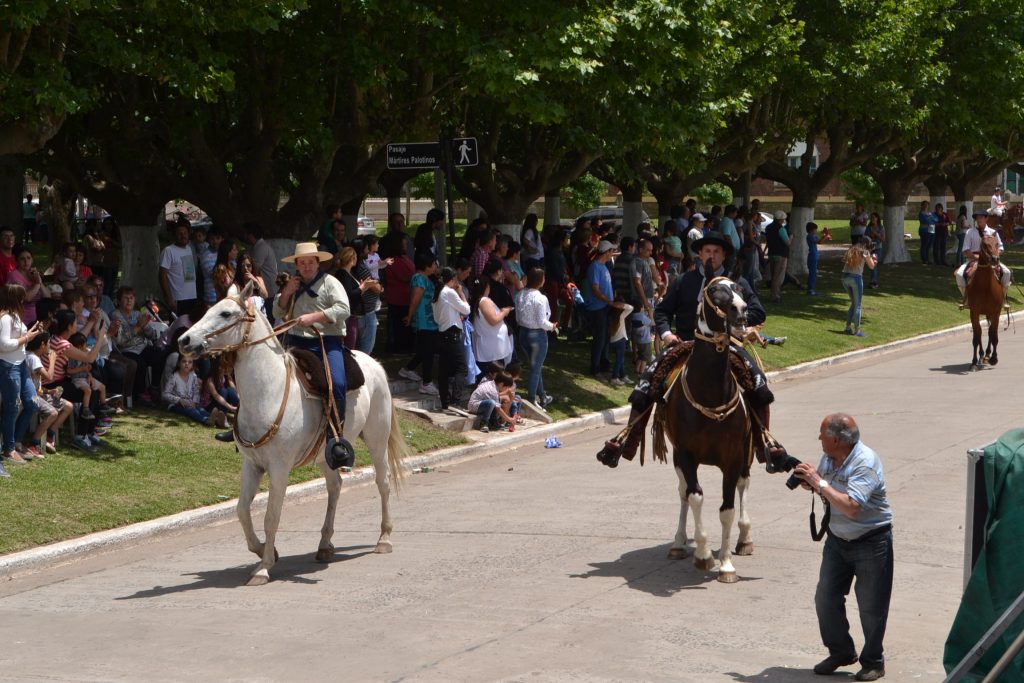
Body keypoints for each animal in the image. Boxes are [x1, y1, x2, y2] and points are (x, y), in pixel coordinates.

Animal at [178, 280, 405, 585]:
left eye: (225, 313)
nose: (184, 341)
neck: (268, 392)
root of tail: (374, 363)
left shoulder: (279, 468)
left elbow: (271, 517)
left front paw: (263, 568)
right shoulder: (252, 464)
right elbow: (242, 511)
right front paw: (265, 550)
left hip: (377, 438)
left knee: (383, 482)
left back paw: (384, 538)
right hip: (327, 454)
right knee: (335, 487)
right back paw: (324, 545)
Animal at [655, 274, 753, 585]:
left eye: (741, 289)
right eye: (714, 291)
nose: (740, 311)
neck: (710, 392)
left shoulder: (733, 457)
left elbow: (727, 509)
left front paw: (726, 564)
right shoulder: (685, 455)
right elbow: (695, 496)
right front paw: (703, 554)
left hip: (747, 453)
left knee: (744, 485)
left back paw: (745, 539)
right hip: (677, 458)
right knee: (683, 492)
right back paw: (678, 544)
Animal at [962, 232, 1003, 368]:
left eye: (996, 243)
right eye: (985, 244)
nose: (995, 259)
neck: (985, 286)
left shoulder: (996, 312)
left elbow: (993, 333)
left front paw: (994, 358)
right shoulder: (974, 312)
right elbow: (977, 335)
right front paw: (974, 361)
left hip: (990, 313)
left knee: (990, 331)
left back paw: (987, 354)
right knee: (979, 333)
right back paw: (981, 356)